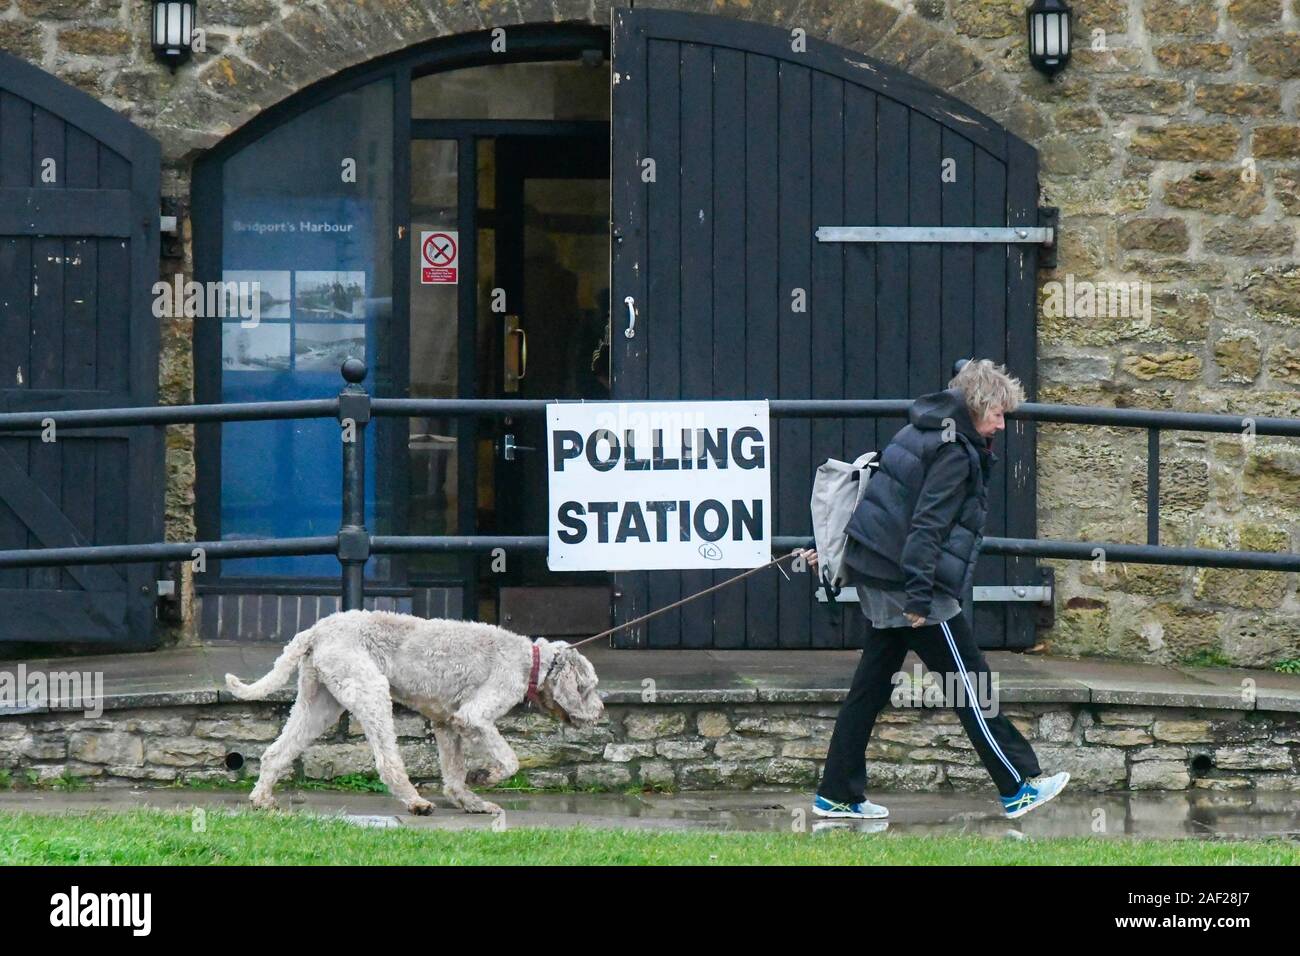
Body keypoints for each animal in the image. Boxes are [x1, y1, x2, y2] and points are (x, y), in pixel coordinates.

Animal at [224, 613, 603, 816]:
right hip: (371, 690)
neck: (532, 661)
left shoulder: (447, 723)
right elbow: (510, 760)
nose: (601, 713)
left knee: (277, 752)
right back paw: (416, 802)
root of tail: (315, 631)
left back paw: (262, 799)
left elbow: (454, 774)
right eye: (589, 686)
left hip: (319, 702)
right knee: (387, 762)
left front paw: (471, 802)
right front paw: (485, 777)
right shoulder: (474, 716)